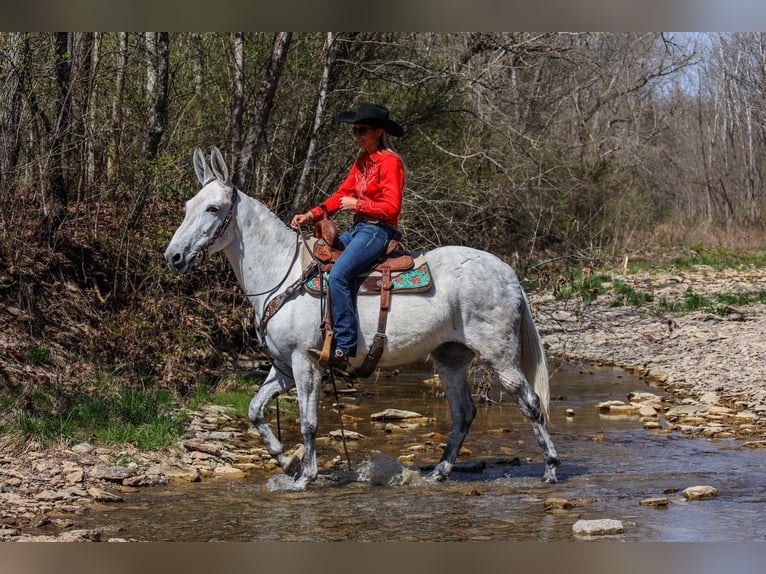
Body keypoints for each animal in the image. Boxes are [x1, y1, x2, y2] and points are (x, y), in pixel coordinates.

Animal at [165, 147, 560, 490]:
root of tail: (508, 272)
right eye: (188, 206)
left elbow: (309, 423)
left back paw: (551, 469)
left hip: (498, 355)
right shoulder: (283, 367)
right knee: (464, 413)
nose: (173, 256)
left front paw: (304, 478)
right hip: (450, 357)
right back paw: (439, 473)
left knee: (530, 403)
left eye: (213, 208)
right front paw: (287, 462)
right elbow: (255, 410)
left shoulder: (305, 363)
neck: (281, 273)